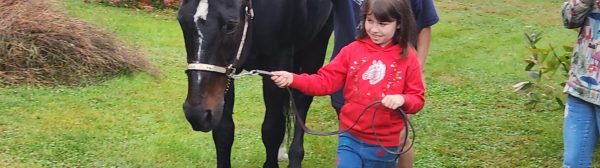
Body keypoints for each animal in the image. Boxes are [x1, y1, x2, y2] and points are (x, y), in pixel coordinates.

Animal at [176, 0, 336, 167]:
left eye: (232, 25)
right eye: (181, 21)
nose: (196, 114)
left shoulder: (277, 64)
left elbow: (272, 130)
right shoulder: (227, 76)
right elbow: (223, 132)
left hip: (316, 46)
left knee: (302, 102)